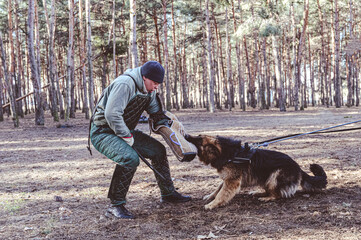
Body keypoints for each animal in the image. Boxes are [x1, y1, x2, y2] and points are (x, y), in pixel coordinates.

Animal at [184, 134, 328, 209]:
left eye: (198, 139)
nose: (186, 135)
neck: (228, 154)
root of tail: (298, 167)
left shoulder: (232, 181)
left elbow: (221, 194)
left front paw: (212, 204)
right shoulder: (228, 178)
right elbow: (217, 189)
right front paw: (210, 197)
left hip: (274, 177)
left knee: (278, 195)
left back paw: (267, 198)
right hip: (266, 179)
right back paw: (259, 193)